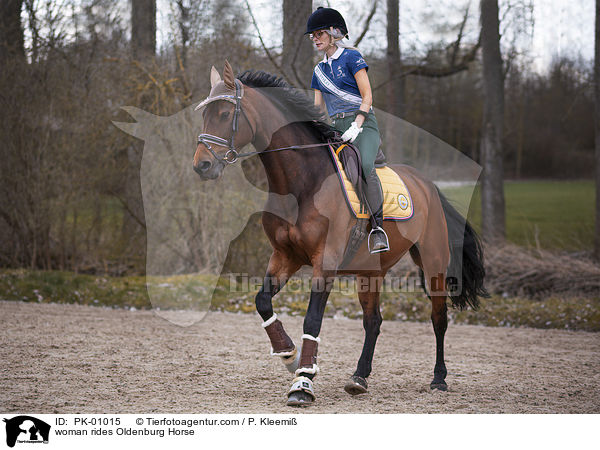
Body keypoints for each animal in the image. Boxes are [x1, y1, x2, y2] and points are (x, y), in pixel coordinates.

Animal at [193, 61, 488, 406]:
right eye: (205, 114)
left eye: (225, 114)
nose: (202, 165)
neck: (301, 182)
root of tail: (427, 185)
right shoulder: (284, 256)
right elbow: (262, 300)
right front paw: (289, 355)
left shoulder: (326, 261)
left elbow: (312, 319)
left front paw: (303, 381)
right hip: (370, 271)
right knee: (373, 322)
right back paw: (359, 377)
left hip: (434, 263)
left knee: (438, 318)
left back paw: (439, 379)